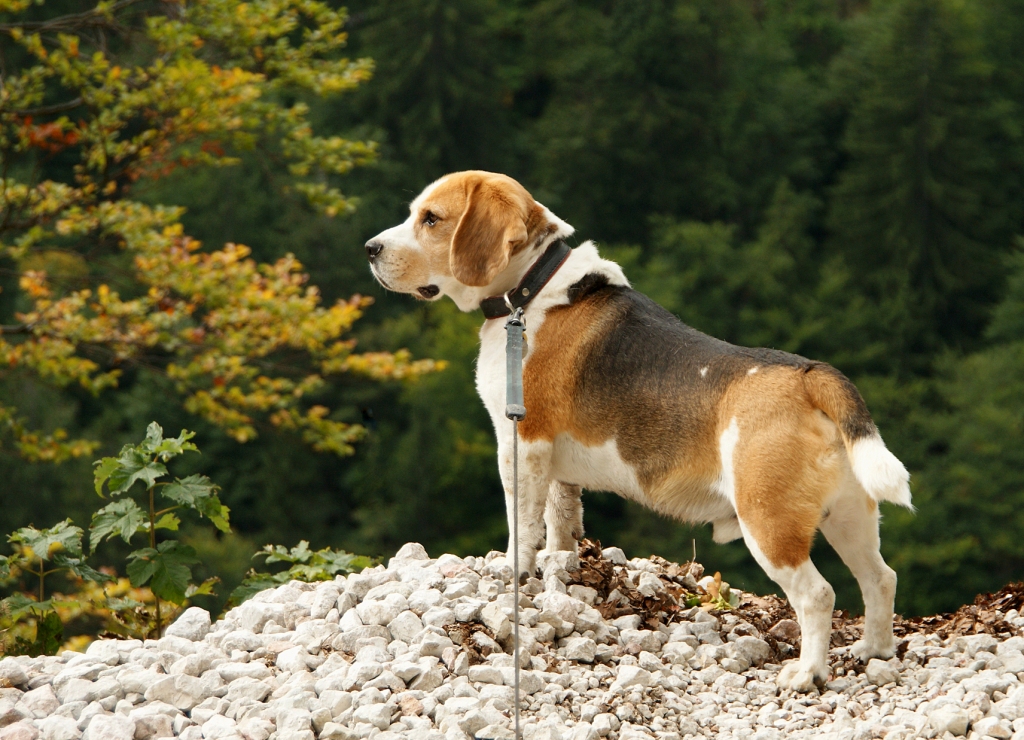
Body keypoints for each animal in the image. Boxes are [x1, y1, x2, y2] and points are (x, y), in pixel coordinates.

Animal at [368, 170, 913, 691]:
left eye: (432, 219)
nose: (370, 249)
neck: (530, 289)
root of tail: (808, 375)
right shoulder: (555, 466)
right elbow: (561, 522)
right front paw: (560, 570)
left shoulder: (520, 443)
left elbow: (521, 523)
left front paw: (513, 571)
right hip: (849, 516)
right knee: (881, 577)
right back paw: (874, 650)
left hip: (769, 522)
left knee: (818, 594)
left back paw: (808, 674)